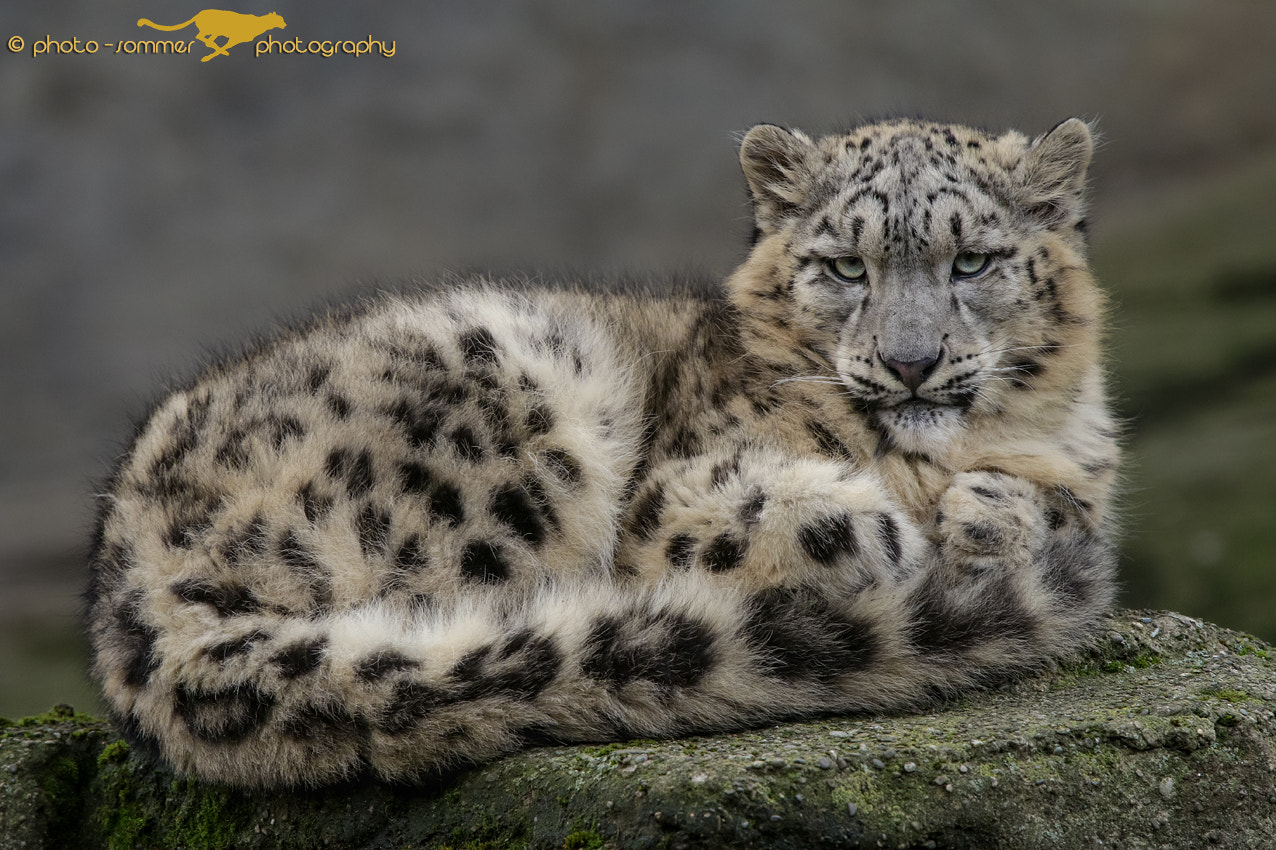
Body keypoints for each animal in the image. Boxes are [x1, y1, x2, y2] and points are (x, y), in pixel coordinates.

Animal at [85, 117, 1120, 788]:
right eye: (844, 266)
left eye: (973, 260)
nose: (910, 363)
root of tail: (128, 596)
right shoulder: (678, 489)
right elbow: (800, 517)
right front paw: (894, 532)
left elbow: (1061, 503)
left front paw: (990, 516)